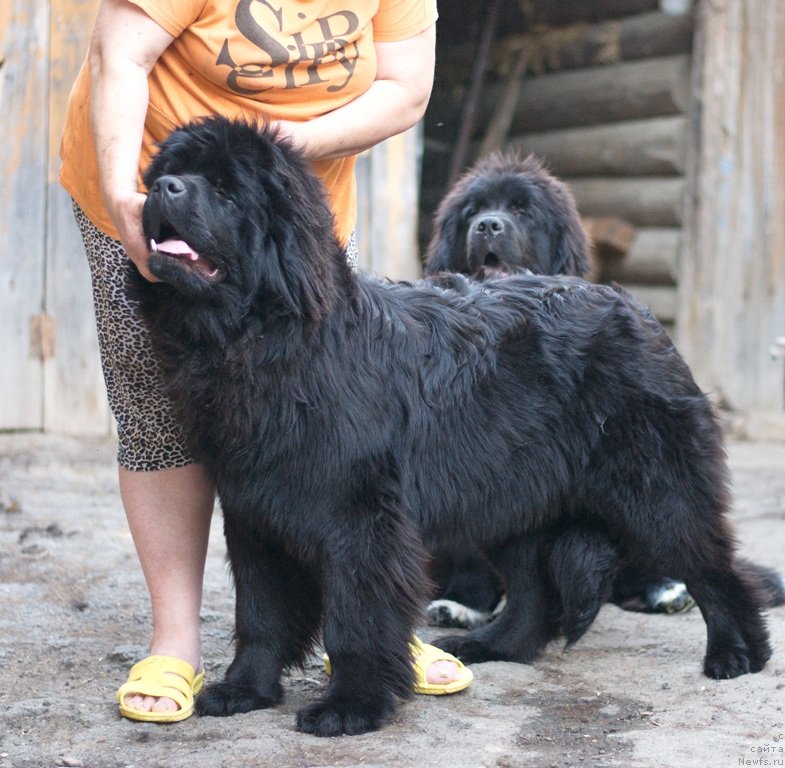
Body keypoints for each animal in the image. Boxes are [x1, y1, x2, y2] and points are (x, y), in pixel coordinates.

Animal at [135, 117, 772, 736]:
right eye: (172, 171)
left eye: (225, 190)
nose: (163, 188)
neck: (269, 339)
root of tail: (637, 310)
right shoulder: (253, 510)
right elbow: (261, 614)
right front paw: (244, 690)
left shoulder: (360, 518)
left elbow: (355, 618)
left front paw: (350, 706)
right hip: (513, 491)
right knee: (533, 591)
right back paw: (493, 645)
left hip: (652, 487)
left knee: (711, 565)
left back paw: (737, 653)